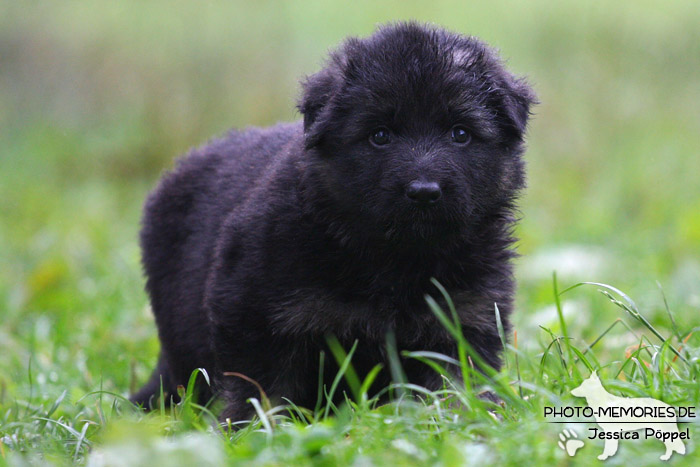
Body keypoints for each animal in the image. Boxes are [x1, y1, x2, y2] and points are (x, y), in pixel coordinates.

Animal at [131, 21, 536, 420]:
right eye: (380, 135)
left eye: (460, 133)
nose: (423, 191)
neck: (397, 259)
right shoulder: (253, 313)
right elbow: (264, 391)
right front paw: (259, 430)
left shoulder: (465, 316)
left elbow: (455, 386)